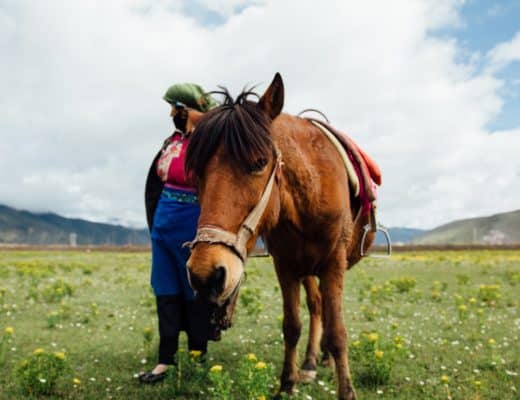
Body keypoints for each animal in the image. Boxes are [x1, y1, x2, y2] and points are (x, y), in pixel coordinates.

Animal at [183, 73, 374, 398]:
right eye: (196, 172)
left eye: (260, 163)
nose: (206, 273)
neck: (309, 195)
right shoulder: (285, 265)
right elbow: (292, 326)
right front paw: (288, 384)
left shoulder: (334, 262)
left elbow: (338, 332)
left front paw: (346, 390)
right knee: (317, 305)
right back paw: (311, 362)